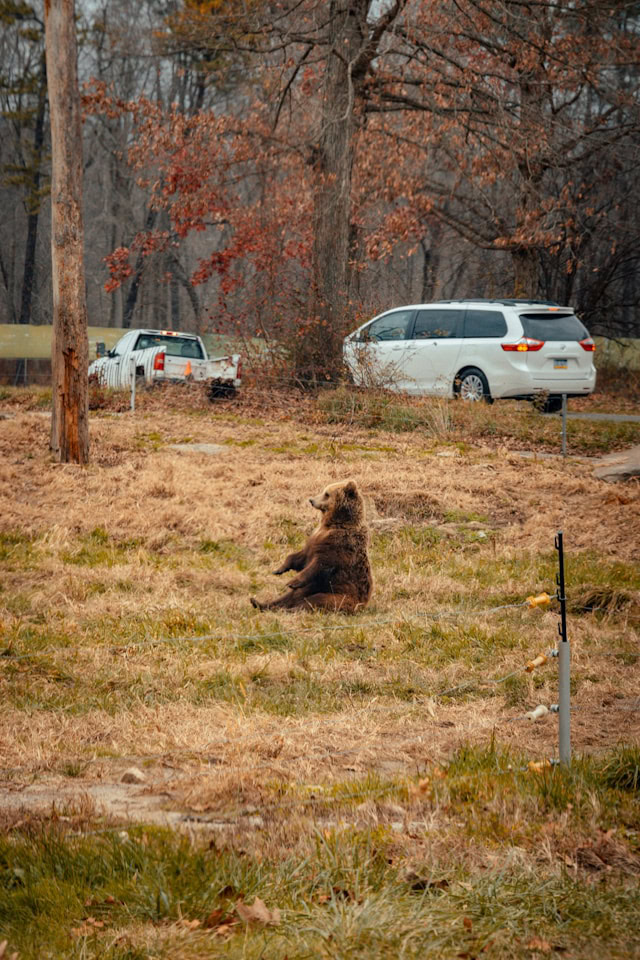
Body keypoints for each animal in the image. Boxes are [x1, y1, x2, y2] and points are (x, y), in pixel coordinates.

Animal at [250, 479, 373, 613]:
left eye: (326, 494)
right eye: (324, 491)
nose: (311, 500)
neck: (333, 524)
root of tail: (363, 604)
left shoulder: (340, 544)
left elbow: (321, 564)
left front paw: (292, 582)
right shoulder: (315, 540)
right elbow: (300, 557)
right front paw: (279, 569)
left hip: (338, 595)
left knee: (314, 601)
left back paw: (293, 609)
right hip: (314, 589)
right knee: (291, 597)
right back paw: (259, 603)